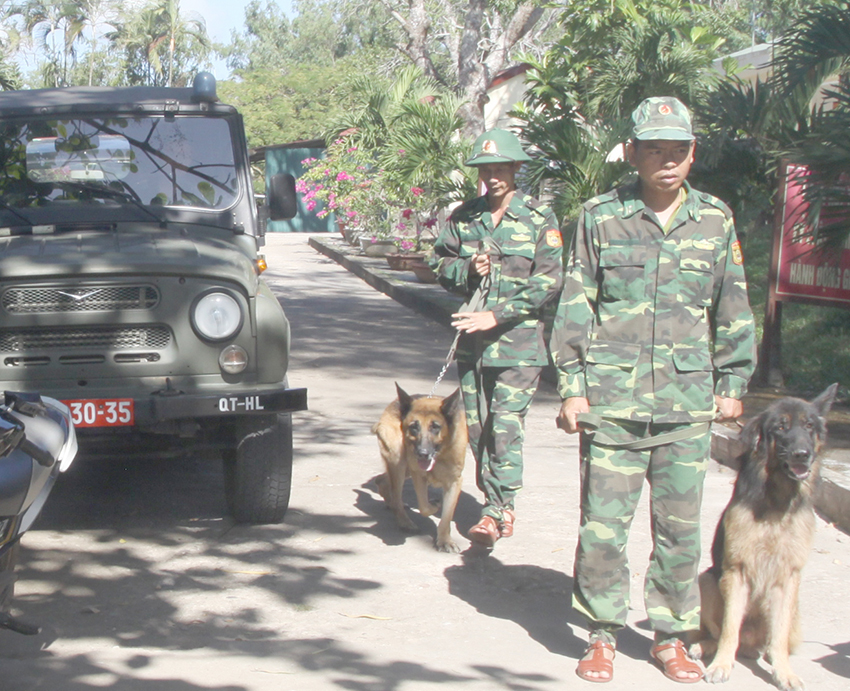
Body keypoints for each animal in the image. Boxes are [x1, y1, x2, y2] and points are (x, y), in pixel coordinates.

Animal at [370, 386, 468, 556]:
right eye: (414, 427)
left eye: (435, 427)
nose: (422, 453)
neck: (440, 454)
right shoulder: (419, 475)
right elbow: (424, 507)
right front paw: (434, 506)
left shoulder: (454, 482)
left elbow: (447, 515)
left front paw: (444, 540)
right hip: (399, 462)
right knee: (395, 495)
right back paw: (404, 521)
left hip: (404, 469)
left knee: (382, 480)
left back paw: (391, 503)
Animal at [692, 384, 840, 691]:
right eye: (780, 427)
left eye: (809, 426)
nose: (802, 454)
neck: (777, 501)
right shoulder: (736, 572)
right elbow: (729, 629)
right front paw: (721, 665)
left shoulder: (789, 576)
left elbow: (779, 635)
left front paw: (784, 673)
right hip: (708, 581)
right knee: (720, 632)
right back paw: (705, 647)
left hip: (795, 607)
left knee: (772, 641)